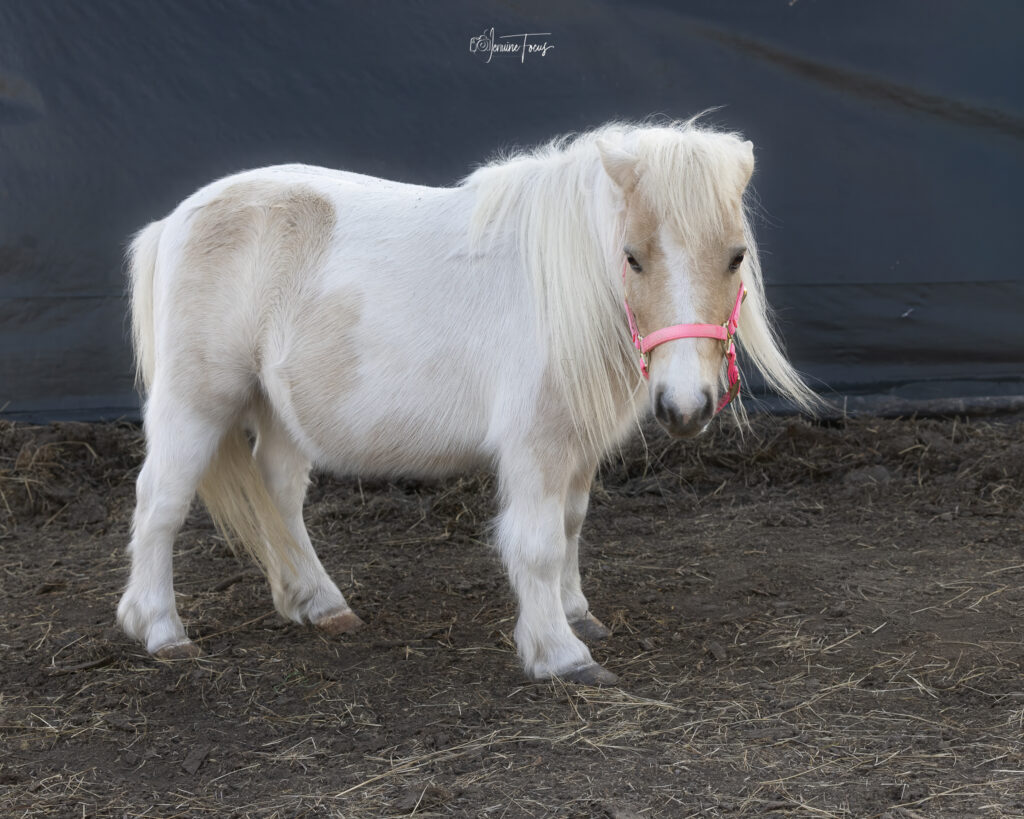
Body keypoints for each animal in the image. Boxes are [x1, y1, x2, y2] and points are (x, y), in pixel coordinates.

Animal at [116, 118, 816, 685]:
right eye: (633, 258)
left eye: (736, 256)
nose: (686, 407)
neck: (561, 284)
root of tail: (174, 222)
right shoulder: (536, 444)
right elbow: (536, 542)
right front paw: (561, 655)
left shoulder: (577, 445)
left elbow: (570, 525)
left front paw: (577, 616)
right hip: (196, 402)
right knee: (161, 503)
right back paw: (160, 631)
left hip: (279, 410)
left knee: (279, 495)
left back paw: (318, 604)